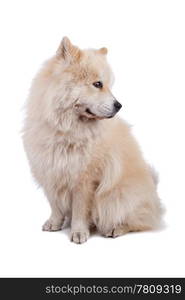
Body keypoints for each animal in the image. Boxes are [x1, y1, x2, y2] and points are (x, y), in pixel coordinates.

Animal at [22, 37, 163, 244]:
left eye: (109, 85)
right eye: (97, 84)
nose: (119, 105)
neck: (65, 129)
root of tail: (154, 195)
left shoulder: (84, 179)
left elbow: (80, 209)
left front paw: (79, 232)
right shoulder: (51, 170)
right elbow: (55, 204)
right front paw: (55, 223)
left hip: (118, 197)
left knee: (136, 221)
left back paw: (115, 228)